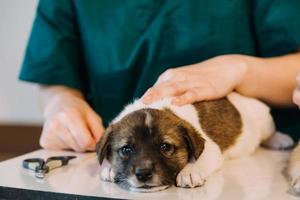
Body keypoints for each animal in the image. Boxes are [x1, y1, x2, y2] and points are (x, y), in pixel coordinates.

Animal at [96, 92, 292, 192]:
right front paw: (110, 168)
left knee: (268, 134)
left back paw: (280, 139)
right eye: (126, 149)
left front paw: (190, 171)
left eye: (165, 147)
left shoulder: (211, 148)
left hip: (264, 120)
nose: (143, 174)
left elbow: (200, 158)